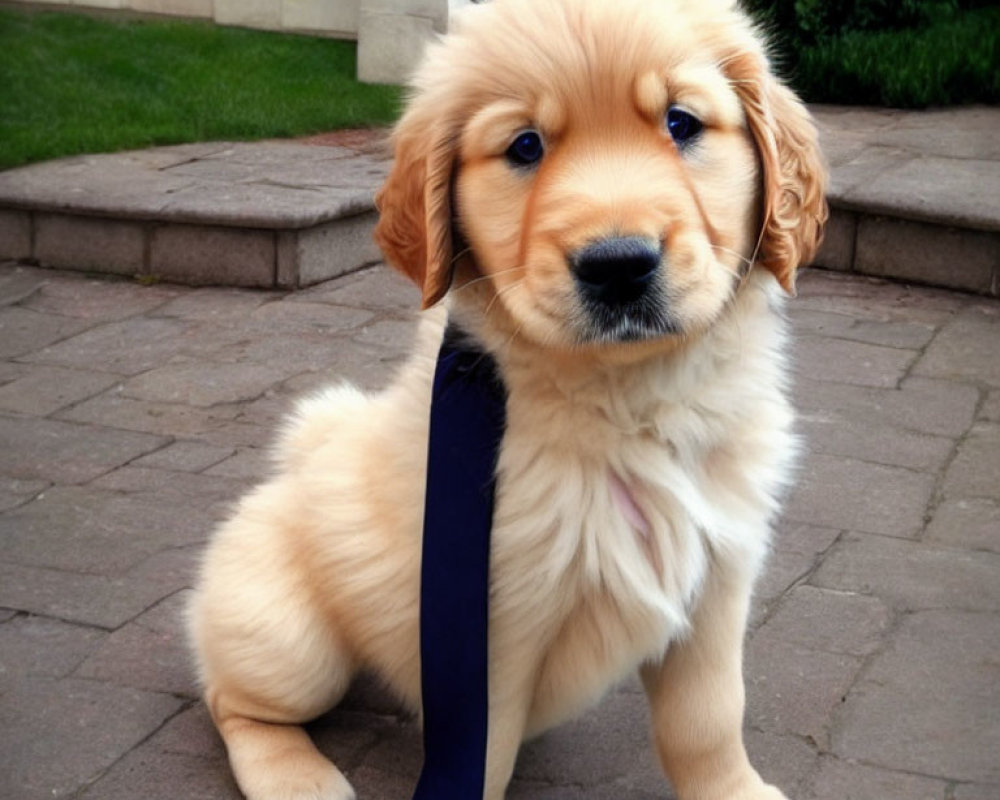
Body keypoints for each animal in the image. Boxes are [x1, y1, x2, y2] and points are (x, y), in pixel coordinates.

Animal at [188, 0, 828, 796]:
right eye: (525, 146)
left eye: (681, 124)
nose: (619, 267)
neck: (631, 397)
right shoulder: (489, 628)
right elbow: (480, 754)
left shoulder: (717, 578)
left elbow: (707, 716)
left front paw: (733, 789)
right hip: (288, 635)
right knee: (234, 701)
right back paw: (297, 778)